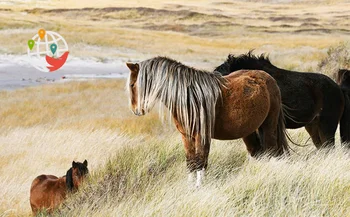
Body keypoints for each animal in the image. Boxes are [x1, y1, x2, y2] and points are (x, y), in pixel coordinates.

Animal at [126, 57, 290, 186]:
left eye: (132, 84)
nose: (136, 110)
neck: (189, 98)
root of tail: (269, 79)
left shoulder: (202, 135)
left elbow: (200, 161)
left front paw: (199, 187)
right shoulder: (186, 136)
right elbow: (191, 161)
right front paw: (190, 187)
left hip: (269, 125)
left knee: (271, 149)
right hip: (248, 130)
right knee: (257, 151)